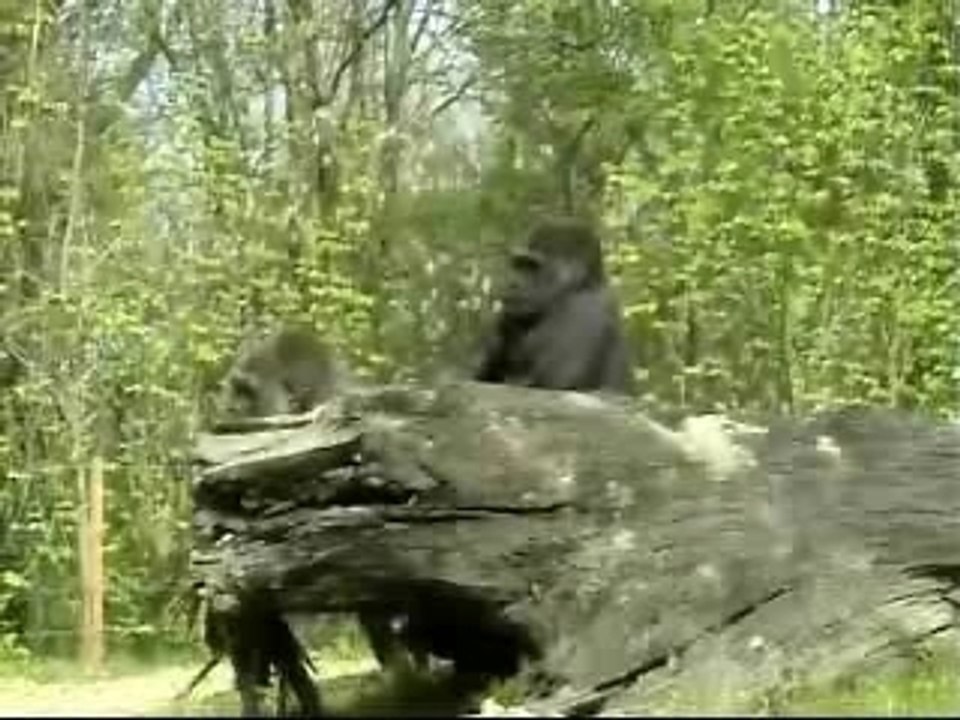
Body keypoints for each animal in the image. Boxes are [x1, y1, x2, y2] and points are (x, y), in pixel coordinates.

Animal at [475, 216, 636, 396]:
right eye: (519, 265)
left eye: (532, 267)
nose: (512, 283)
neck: (583, 284)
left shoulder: (585, 310)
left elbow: (554, 386)